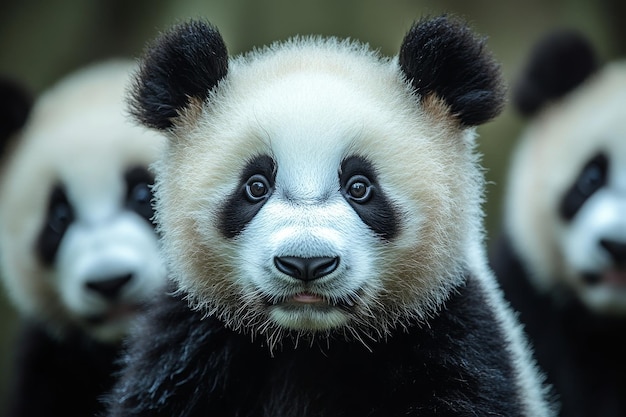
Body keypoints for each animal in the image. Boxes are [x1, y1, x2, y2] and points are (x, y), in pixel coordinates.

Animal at [105, 17, 552, 416]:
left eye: (360, 187)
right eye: (255, 186)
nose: (306, 263)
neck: (311, 344)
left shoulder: (451, 336)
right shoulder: (191, 346)